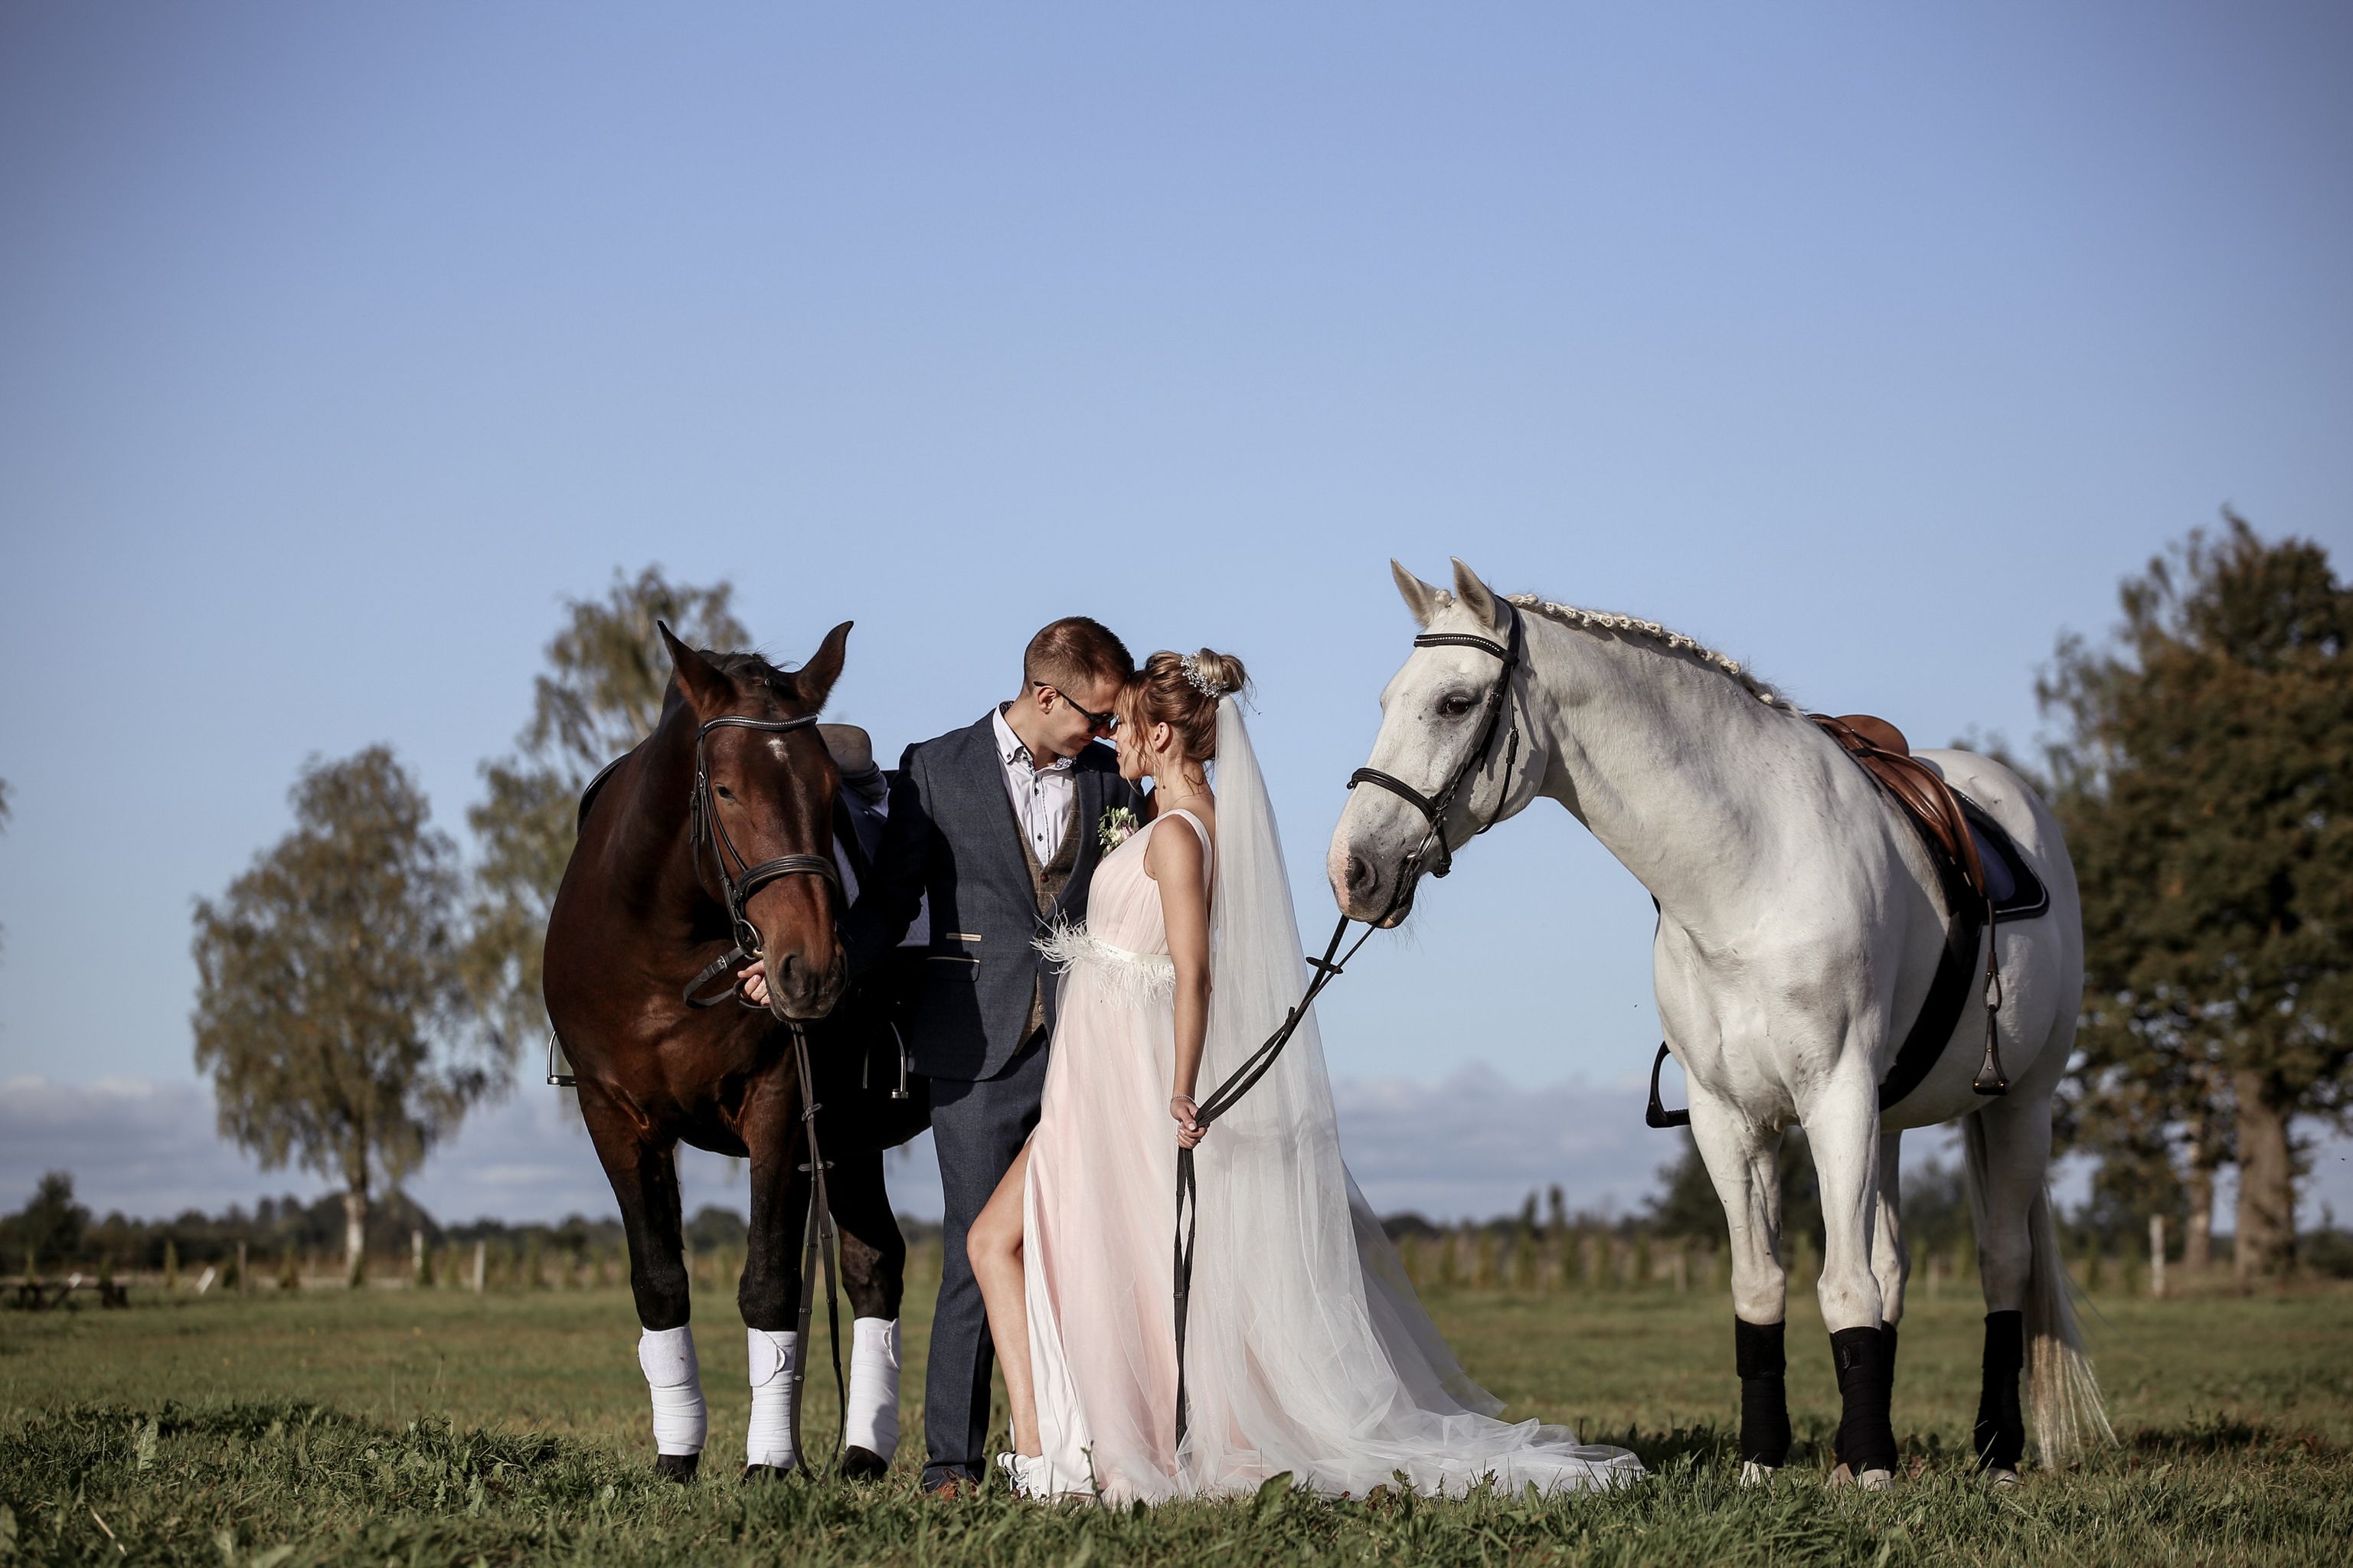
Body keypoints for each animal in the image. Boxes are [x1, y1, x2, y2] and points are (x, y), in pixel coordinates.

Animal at [543, 621, 926, 1483]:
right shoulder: (614, 1116)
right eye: (724, 790)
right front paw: (676, 1457)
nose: (809, 970)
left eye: (826, 791)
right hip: (853, 1141)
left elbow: (769, 1285)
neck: (661, 955)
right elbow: (659, 1283)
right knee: (873, 1263)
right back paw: (861, 1453)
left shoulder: (780, 1108)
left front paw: (769, 1465)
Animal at [1329, 559, 2110, 1488]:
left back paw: (1995, 1451)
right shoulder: (1729, 1117)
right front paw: (1766, 1462)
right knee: (1892, 1261)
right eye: (1385, 699)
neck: (1749, 876)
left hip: (2018, 1105)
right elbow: (1762, 1286)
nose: (1352, 870)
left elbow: (1843, 1286)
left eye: (1454, 702)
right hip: (1891, 1120)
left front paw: (1871, 1470)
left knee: (2000, 1262)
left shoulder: (1835, 1098)